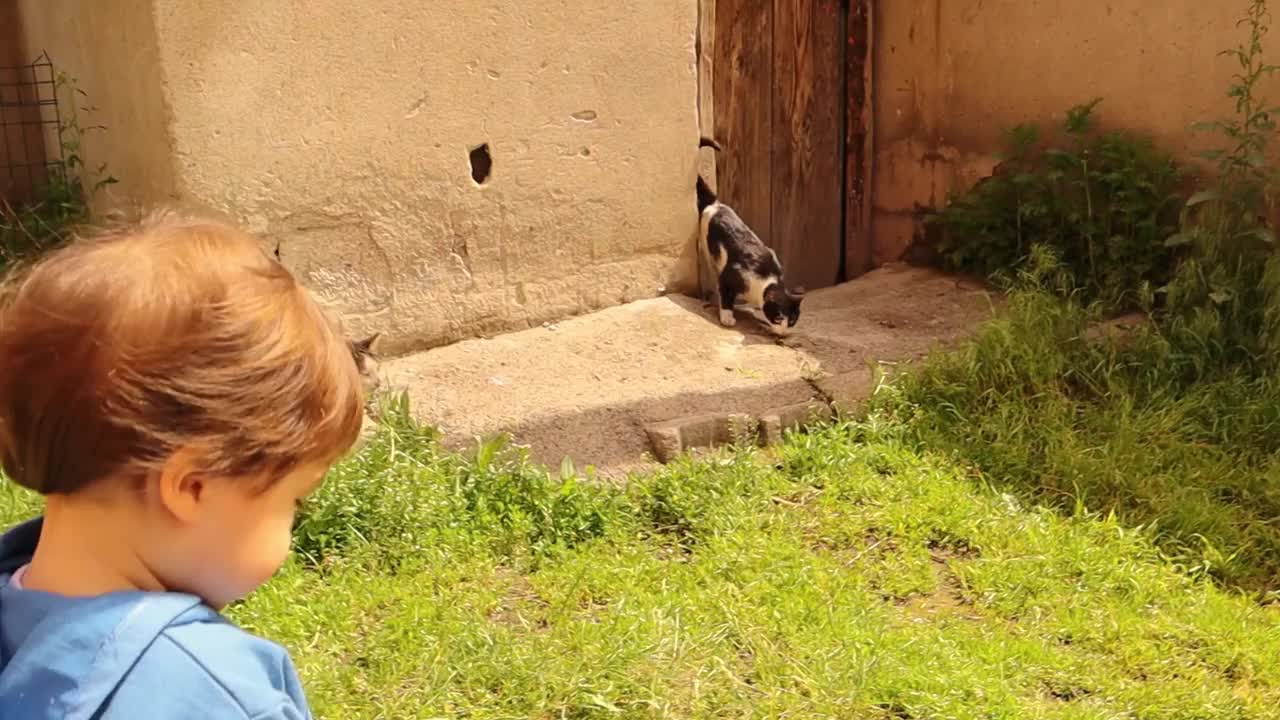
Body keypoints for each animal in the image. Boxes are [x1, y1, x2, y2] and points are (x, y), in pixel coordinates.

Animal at [696, 137, 803, 333]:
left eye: (792, 320)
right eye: (779, 317)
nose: (784, 332)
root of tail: (715, 204)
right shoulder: (730, 275)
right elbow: (725, 293)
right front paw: (727, 317)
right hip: (708, 253)